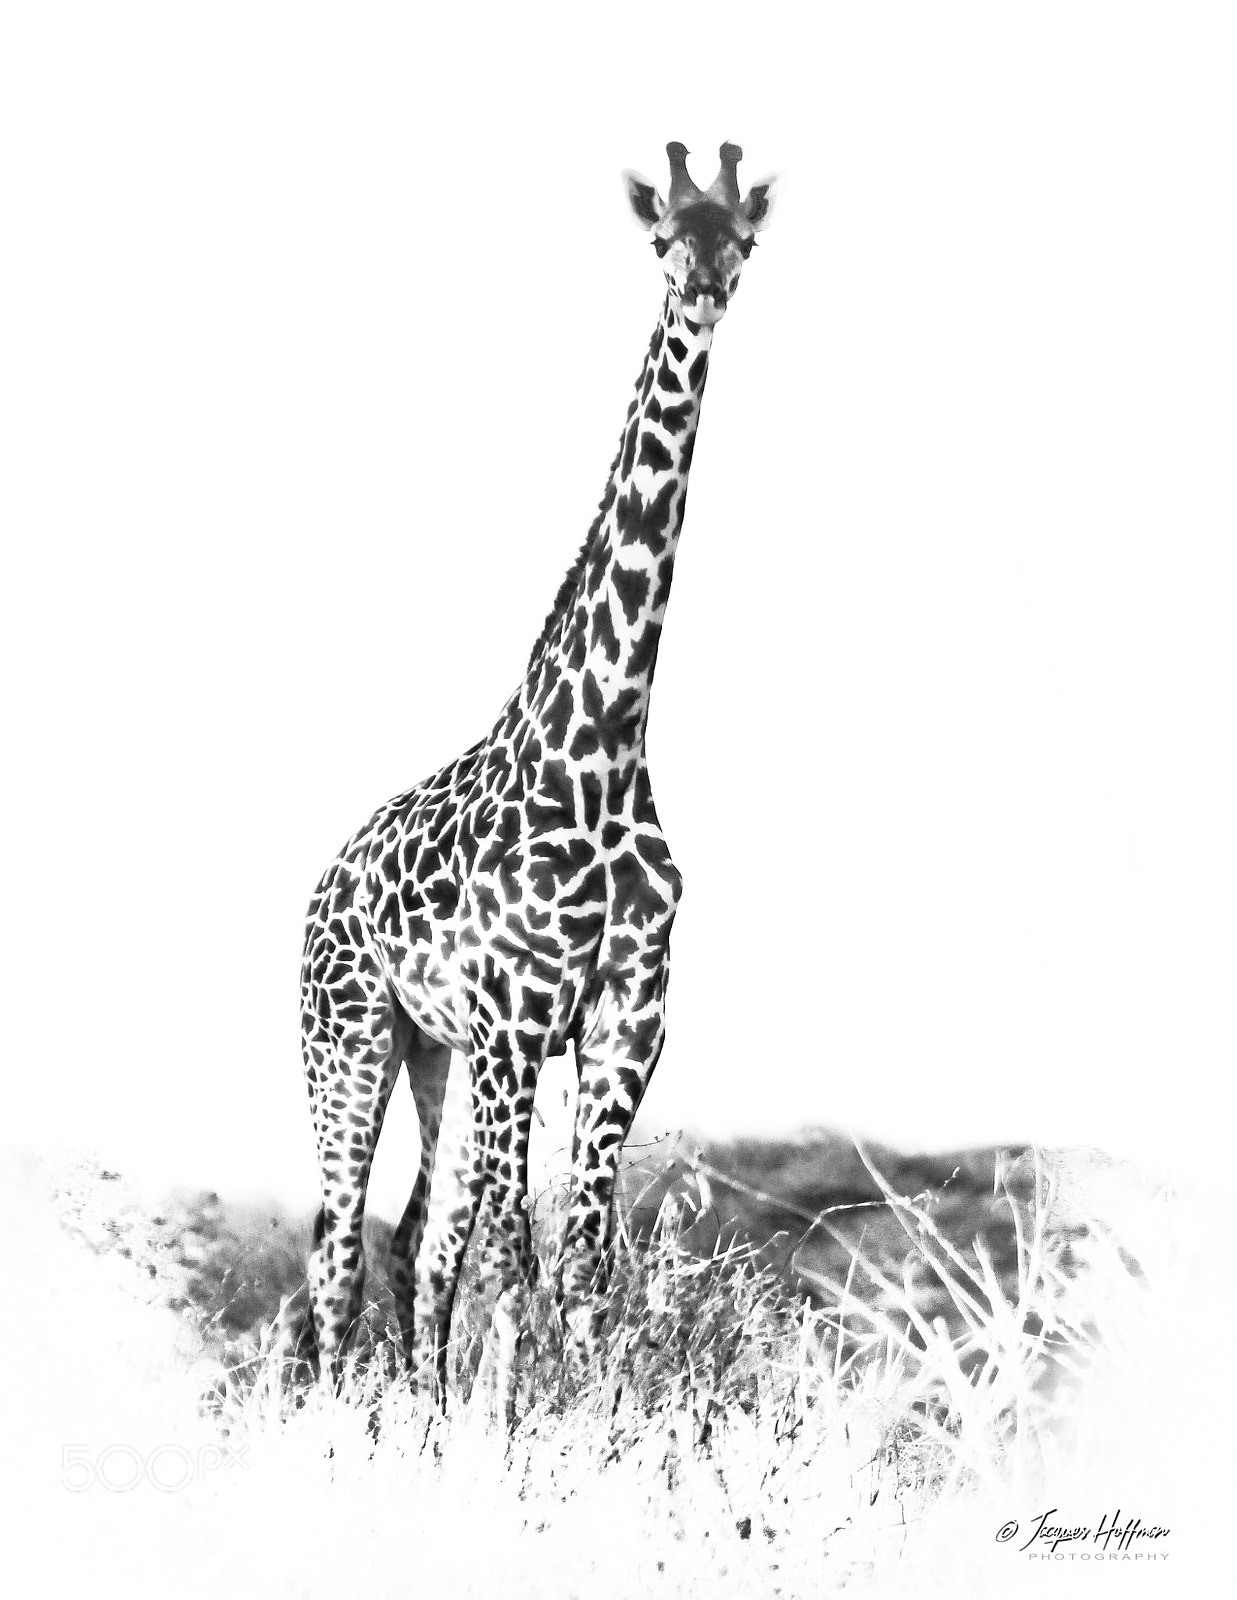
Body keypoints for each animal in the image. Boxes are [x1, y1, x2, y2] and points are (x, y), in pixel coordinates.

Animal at [300, 140, 775, 1412]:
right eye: (662, 238)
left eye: (741, 241)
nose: (703, 292)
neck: (603, 746)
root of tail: (324, 882)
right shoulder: (521, 1012)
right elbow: (518, 1251)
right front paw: (516, 1430)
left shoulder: (624, 1014)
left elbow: (581, 1259)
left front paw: (585, 1423)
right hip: (350, 1033)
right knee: (335, 1244)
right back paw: (345, 1422)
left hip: (440, 1053)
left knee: (416, 1240)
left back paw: (415, 1421)